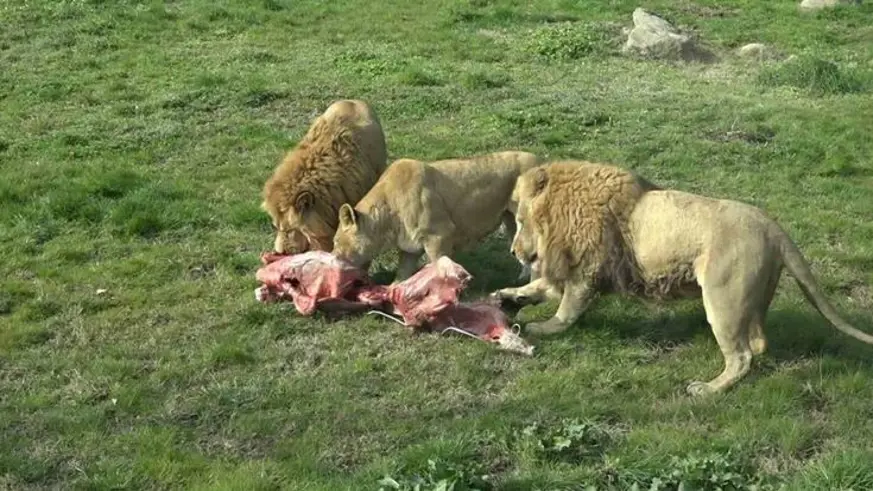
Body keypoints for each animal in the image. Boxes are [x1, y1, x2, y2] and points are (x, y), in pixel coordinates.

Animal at [330, 151, 540, 280]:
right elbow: (402, 274)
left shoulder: (439, 235)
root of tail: (539, 160)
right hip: (510, 220)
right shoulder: (410, 247)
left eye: (336, 241)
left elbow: (439, 266)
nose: (331, 258)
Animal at [490, 160, 872, 396]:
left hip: (723, 299)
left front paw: (542, 328)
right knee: (760, 342)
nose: (513, 251)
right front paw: (506, 296)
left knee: (742, 355)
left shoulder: (588, 270)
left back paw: (707, 390)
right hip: (757, 295)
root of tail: (773, 227)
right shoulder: (571, 268)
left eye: (519, 220)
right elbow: (538, 287)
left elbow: (566, 310)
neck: (560, 211)